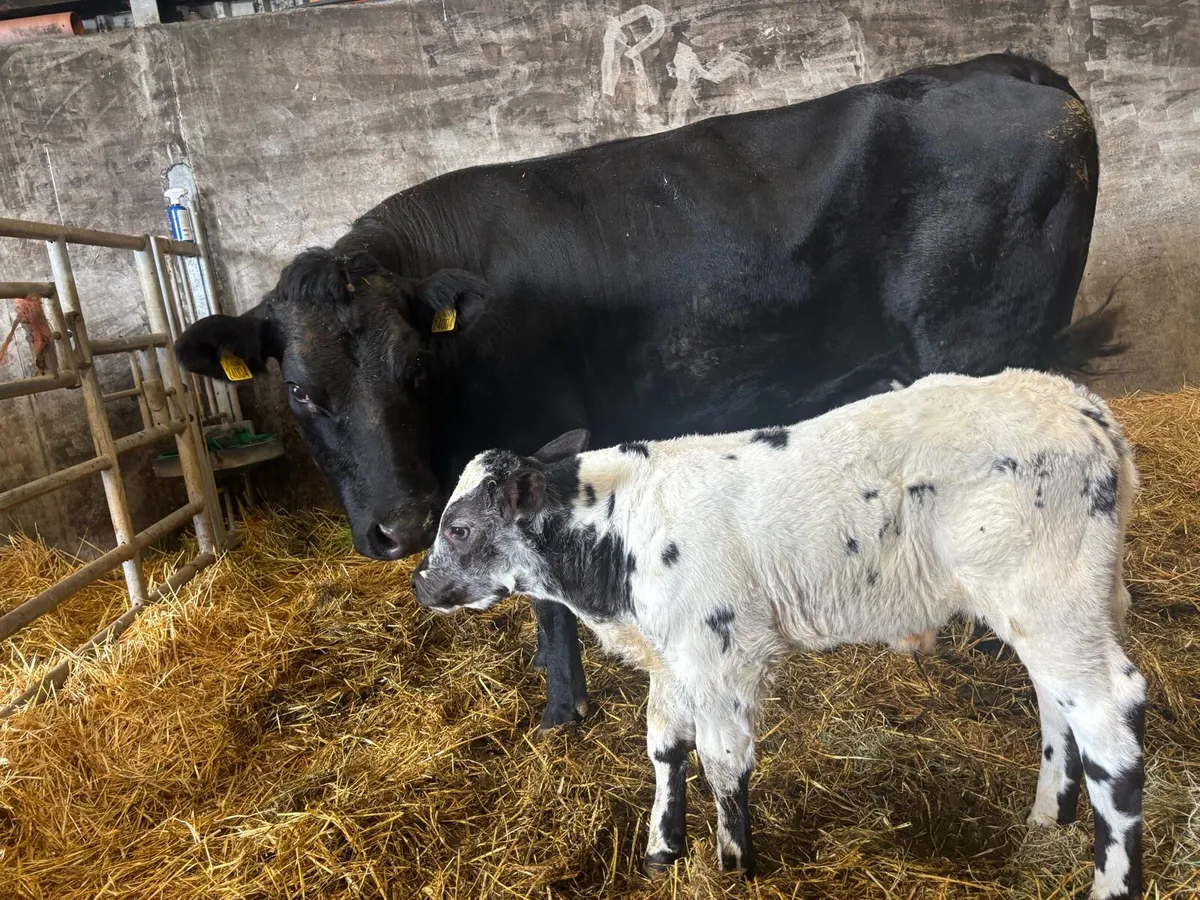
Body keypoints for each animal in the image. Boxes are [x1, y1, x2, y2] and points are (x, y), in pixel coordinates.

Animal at [174, 52, 1120, 730]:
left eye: (412, 367)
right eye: (302, 392)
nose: (399, 526)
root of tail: (1016, 68)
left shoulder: (541, 437)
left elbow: (548, 603)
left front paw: (562, 711)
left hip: (990, 349)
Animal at [411, 368, 1144, 900]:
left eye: (459, 528)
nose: (419, 584)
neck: (618, 535)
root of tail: (1092, 414)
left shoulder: (721, 652)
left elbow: (723, 761)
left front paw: (733, 864)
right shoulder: (673, 659)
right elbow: (665, 748)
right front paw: (661, 851)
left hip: (1049, 589)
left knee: (1112, 719)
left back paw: (1111, 882)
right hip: (1053, 605)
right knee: (1058, 703)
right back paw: (1047, 817)